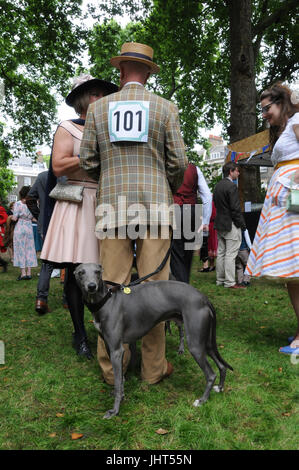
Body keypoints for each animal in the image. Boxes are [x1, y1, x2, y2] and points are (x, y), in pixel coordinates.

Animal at [75, 262, 234, 420]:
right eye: (80, 272)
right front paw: (120, 396)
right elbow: (120, 379)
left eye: (97, 272)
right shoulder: (110, 347)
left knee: (211, 374)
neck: (106, 301)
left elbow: (118, 381)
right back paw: (220, 388)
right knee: (221, 366)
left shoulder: (116, 350)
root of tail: (203, 298)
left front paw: (115, 410)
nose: (91, 286)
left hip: (195, 344)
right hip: (206, 342)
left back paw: (202, 400)